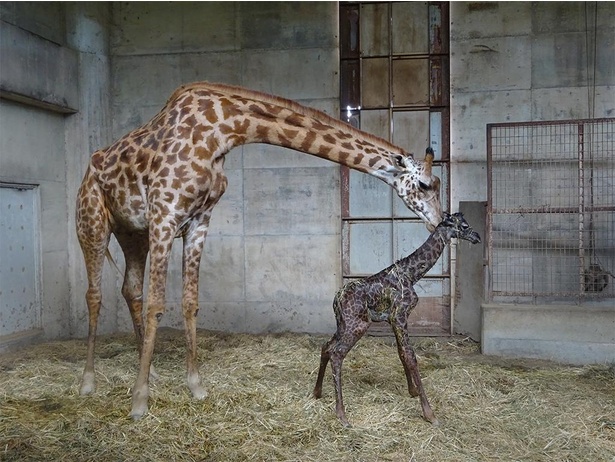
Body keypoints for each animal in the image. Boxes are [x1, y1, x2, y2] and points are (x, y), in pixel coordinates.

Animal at [76, 82, 442, 418]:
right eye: (426, 185)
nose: (438, 220)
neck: (222, 130)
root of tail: (89, 168)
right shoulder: (164, 214)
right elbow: (156, 306)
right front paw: (139, 402)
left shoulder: (199, 221)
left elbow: (190, 302)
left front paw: (195, 386)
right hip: (92, 222)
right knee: (95, 295)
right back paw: (88, 381)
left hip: (131, 232)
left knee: (130, 289)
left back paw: (148, 370)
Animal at [316, 212, 484, 426]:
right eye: (464, 226)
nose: (477, 237)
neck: (412, 274)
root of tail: (337, 299)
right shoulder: (400, 315)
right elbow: (411, 356)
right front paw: (429, 413)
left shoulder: (393, 319)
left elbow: (401, 353)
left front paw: (412, 391)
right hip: (358, 325)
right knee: (337, 353)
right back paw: (342, 415)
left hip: (343, 324)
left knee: (326, 346)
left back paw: (317, 392)